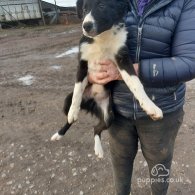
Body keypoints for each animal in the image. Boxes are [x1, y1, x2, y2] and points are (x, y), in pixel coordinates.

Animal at [50, 0, 163, 158]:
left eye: (102, 6)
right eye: (84, 9)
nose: (86, 26)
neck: (101, 37)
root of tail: (92, 101)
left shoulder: (122, 58)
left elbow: (135, 82)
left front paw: (150, 107)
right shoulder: (82, 63)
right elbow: (78, 89)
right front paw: (73, 111)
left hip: (109, 116)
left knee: (96, 128)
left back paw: (98, 149)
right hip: (67, 100)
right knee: (69, 119)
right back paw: (60, 132)